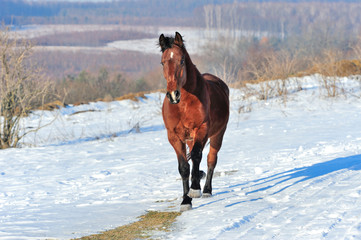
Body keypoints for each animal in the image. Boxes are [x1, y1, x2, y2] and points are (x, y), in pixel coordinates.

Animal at [159, 32, 229, 212]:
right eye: (162, 62)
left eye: (182, 60)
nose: (173, 95)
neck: (183, 105)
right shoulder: (174, 137)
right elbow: (184, 167)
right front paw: (186, 200)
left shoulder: (201, 128)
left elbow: (197, 156)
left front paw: (195, 190)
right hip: (191, 138)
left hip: (218, 135)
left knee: (211, 159)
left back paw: (206, 190)